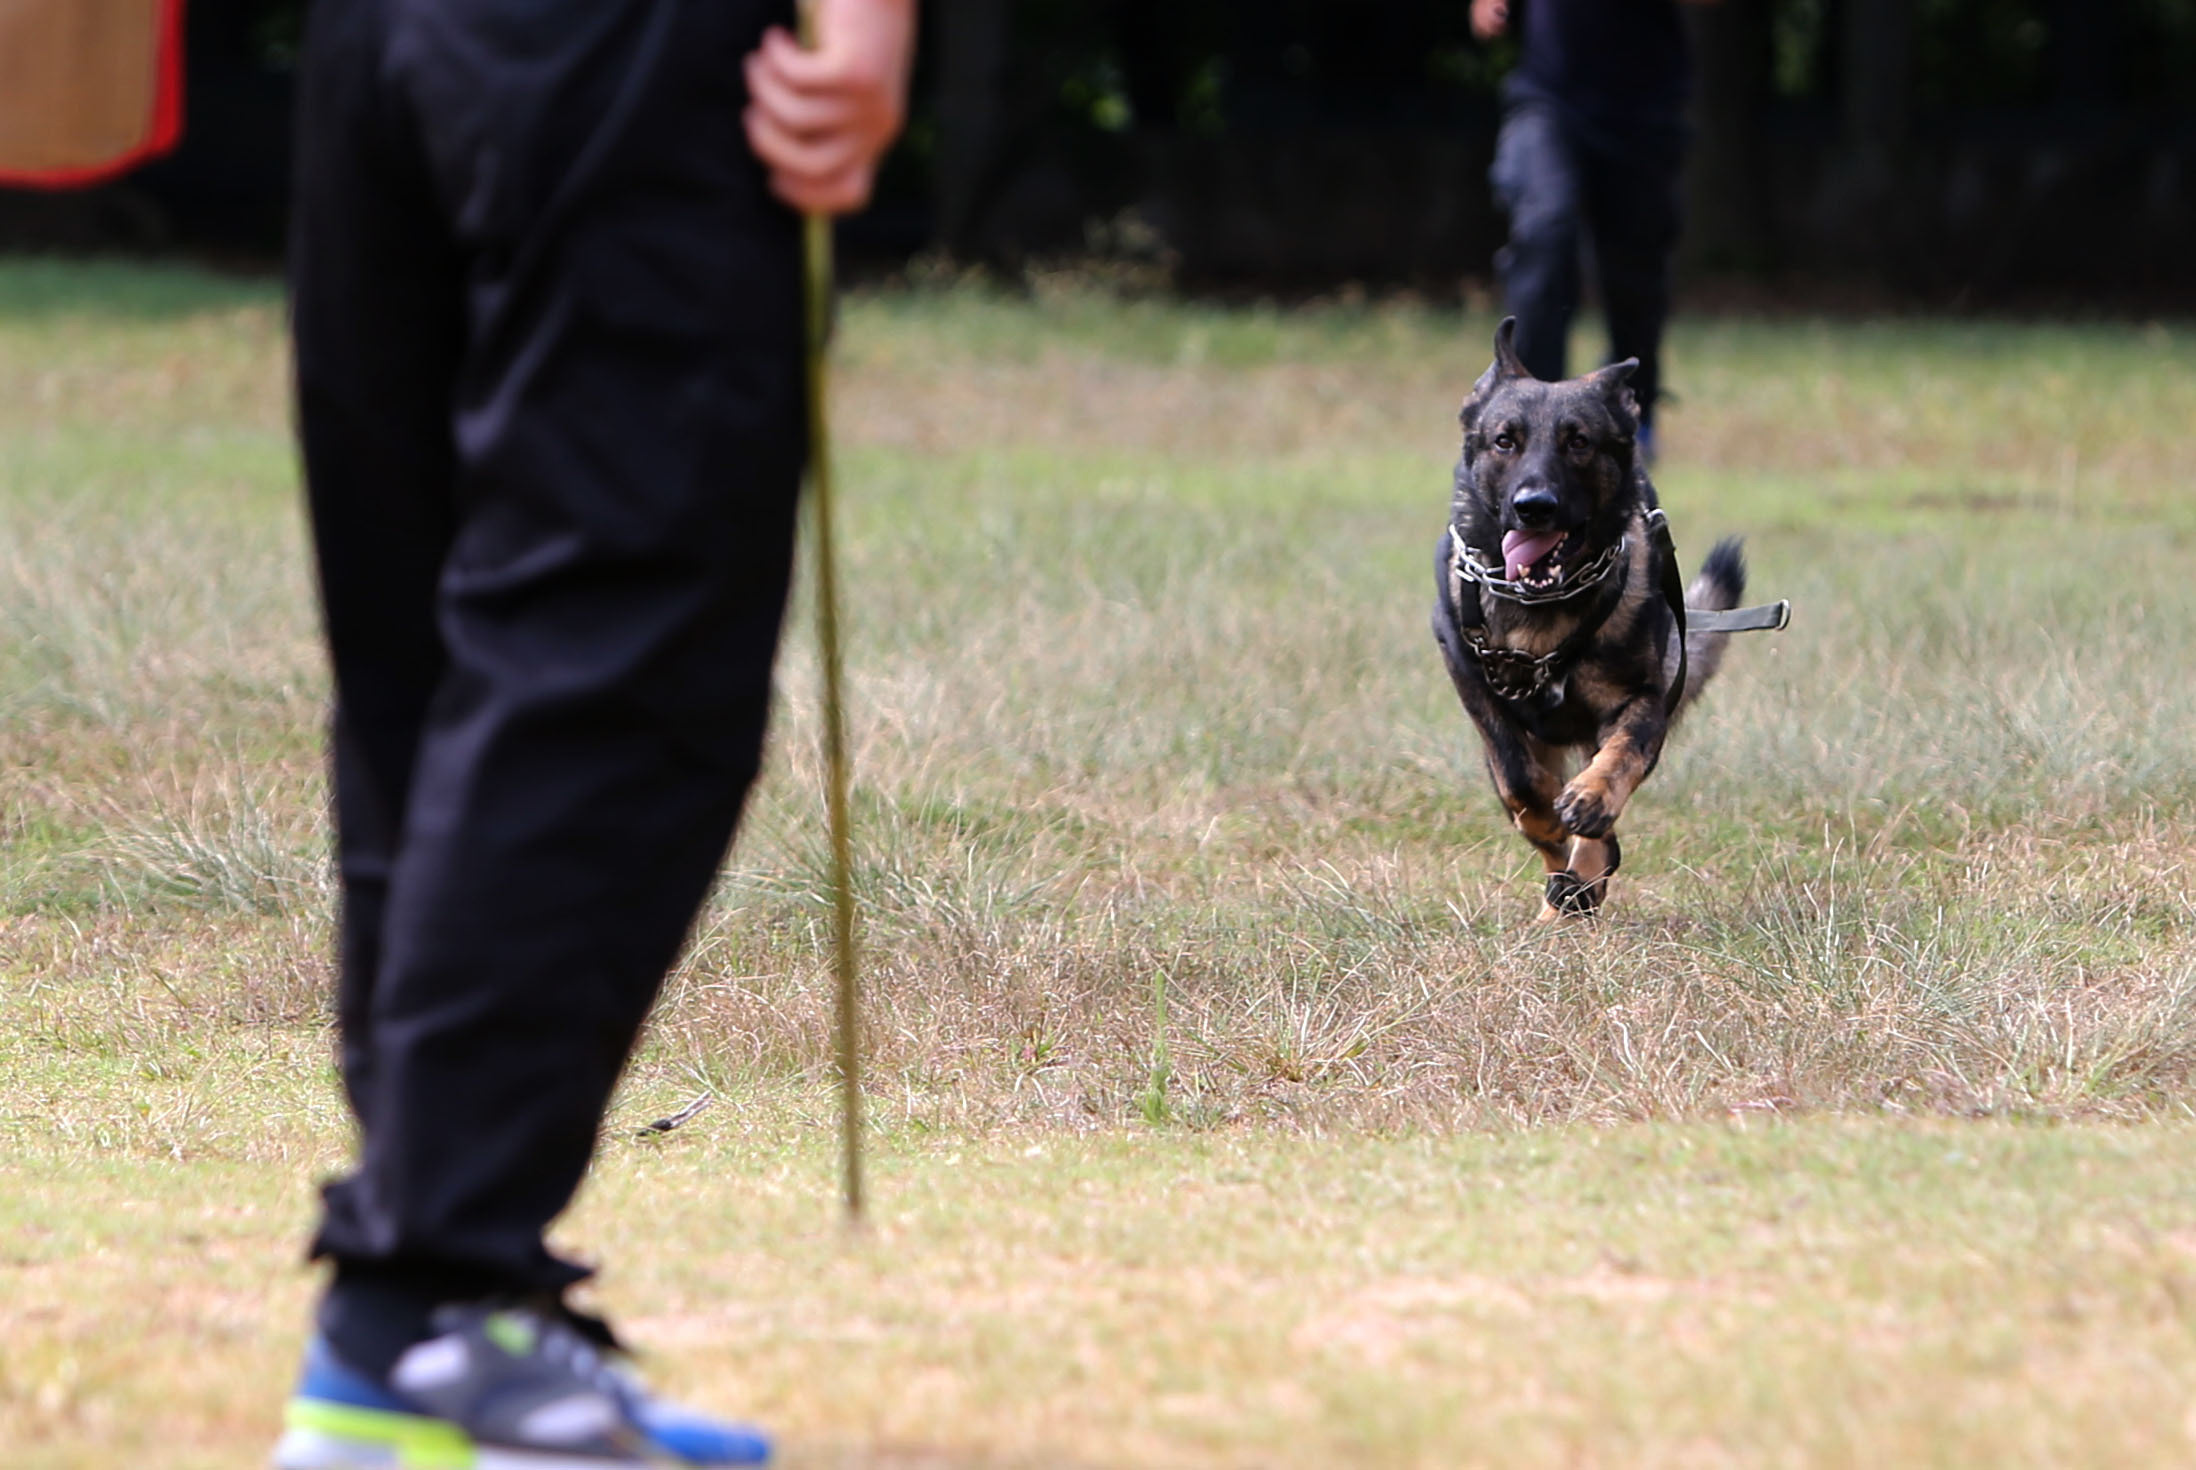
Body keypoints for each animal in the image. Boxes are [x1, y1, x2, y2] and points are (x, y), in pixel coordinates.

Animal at [1431, 318, 1756, 918]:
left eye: (1578, 441)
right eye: (1505, 440)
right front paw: (1549, 825)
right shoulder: (1477, 691)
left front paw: (1590, 799)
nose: (1534, 506)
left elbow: (1621, 756)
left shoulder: (1644, 700)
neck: (1543, 605)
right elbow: (1519, 782)